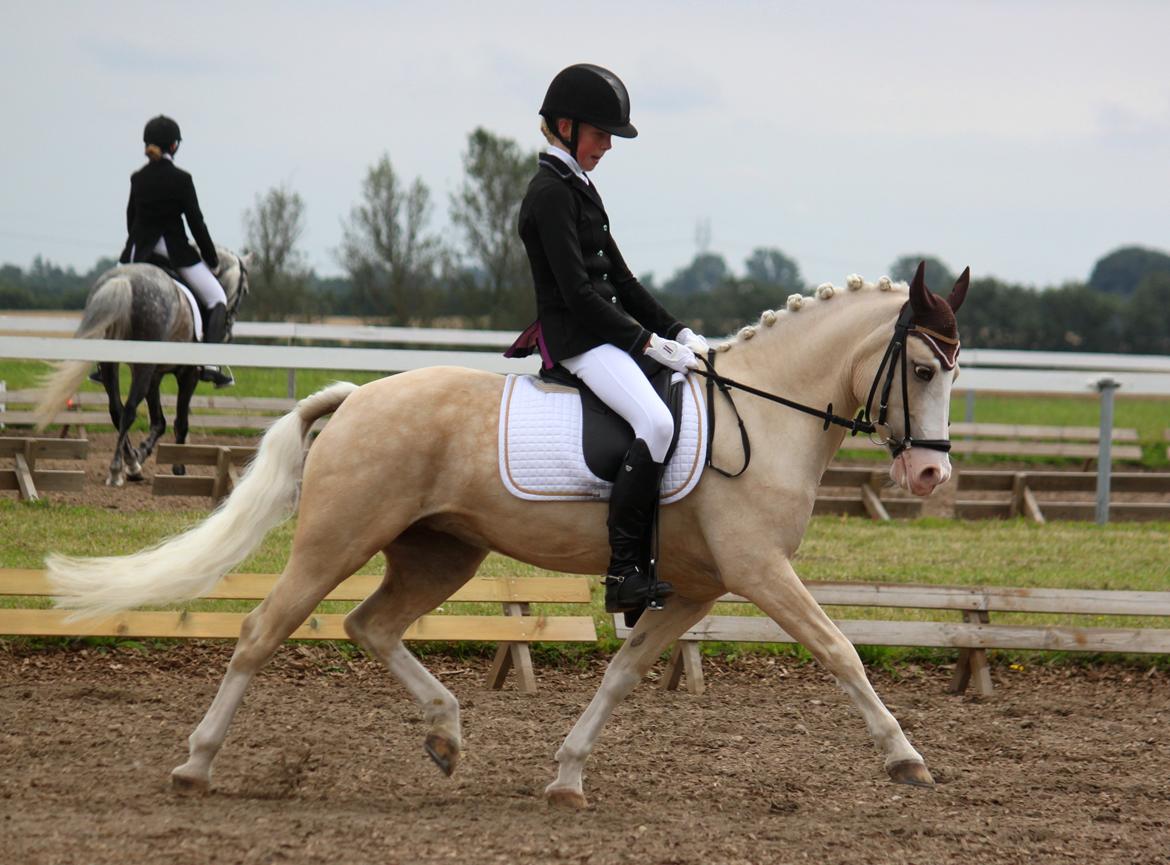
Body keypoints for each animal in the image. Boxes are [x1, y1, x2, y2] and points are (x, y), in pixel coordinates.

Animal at [33, 248, 249, 486]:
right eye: (245, 290)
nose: (230, 332)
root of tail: (124, 280)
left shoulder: (155, 375)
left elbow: (159, 421)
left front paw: (141, 453)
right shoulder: (187, 374)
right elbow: (180, 421)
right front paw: (178, 466)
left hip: (112, 364)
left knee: (117, 410)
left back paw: (131, 463)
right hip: (143, 366)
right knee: (128, 411)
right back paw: (118, 470)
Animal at [45, 262, 968, 805]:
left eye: (957, 373)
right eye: (923, 368)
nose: (930, 475)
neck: (768, 414)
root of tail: (356, 395)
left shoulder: (699, 586)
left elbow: (625, 671)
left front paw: (566, 775)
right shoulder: (759, 569)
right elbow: (839, 649)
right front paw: (905, 757)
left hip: (442, 552)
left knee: (369, 623)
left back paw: (446, 735)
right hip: (335, 541)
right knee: (263, 630)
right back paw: (195, 764)